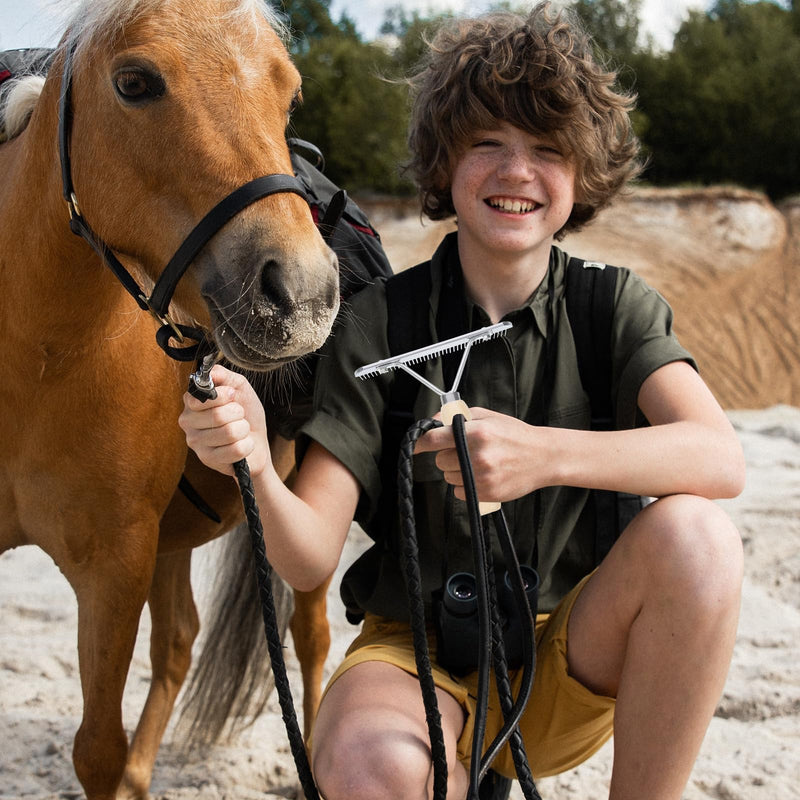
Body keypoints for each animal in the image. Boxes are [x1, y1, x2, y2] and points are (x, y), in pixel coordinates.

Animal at [0, 1, 340, 797]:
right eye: (135, 82)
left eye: (289, 95)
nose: (303, 294)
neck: (35, 365)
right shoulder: (138, 553)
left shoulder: (114, 568)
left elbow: (97, 747)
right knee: (180, 641)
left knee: (310, 638)